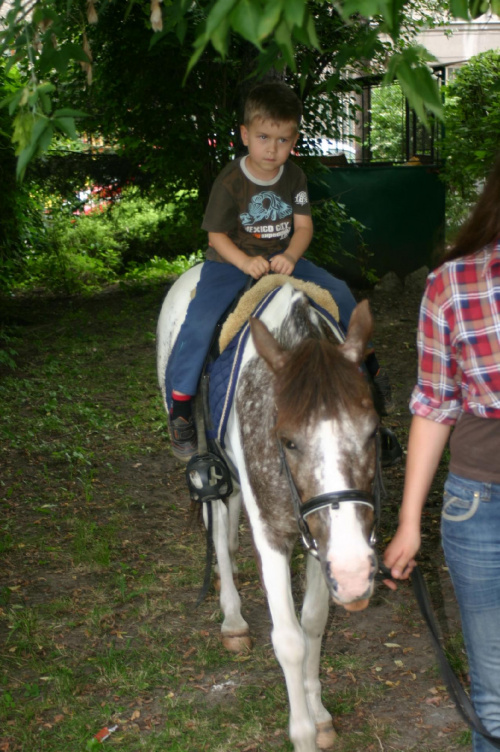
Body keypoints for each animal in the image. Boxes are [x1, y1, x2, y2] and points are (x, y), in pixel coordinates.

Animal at [156, 266, 378, 752]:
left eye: (372, 432)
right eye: (288, 440)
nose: (355, 572)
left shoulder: (321, 536)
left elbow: (313, 623)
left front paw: (319, 715)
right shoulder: (275, 536)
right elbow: (290, 640)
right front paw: (303, 732)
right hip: (205, 457)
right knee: (217, 522)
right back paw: (233, 617)